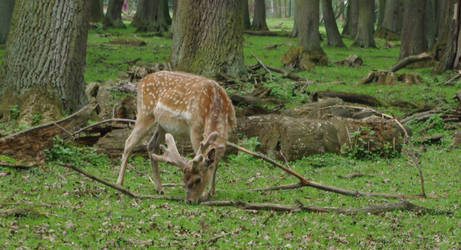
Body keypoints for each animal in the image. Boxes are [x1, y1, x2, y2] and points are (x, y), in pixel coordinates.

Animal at [115, 70, 237, 203]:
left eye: (198, 179)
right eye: (184, 179)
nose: (189, 201)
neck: (216, 106)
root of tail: (141, 82)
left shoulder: (228, 129)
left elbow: (216, 161)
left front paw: (212, 191)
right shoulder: (194, 127)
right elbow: (200, 154)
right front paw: (205, 194)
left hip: (162, 124)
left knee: (152, 145)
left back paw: (159, 188)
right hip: (145, 112)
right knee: (129, 142)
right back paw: (119, 185)